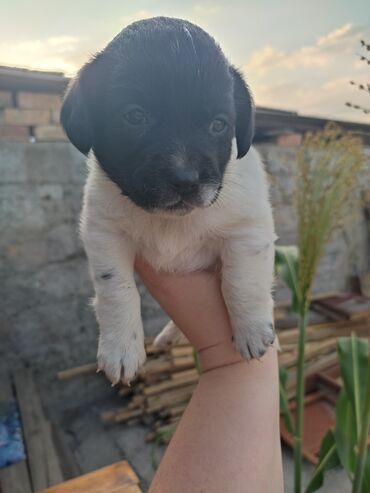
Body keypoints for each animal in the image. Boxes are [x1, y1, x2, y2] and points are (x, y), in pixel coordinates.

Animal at [60, 16, 276, 384]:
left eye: (219, 125)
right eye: (134, 117)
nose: (186, 180)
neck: (172, 221)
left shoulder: (248, 229)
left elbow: (242, 281)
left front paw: (251, 330)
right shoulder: (104, 231)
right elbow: (116, 288)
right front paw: (121, 348)